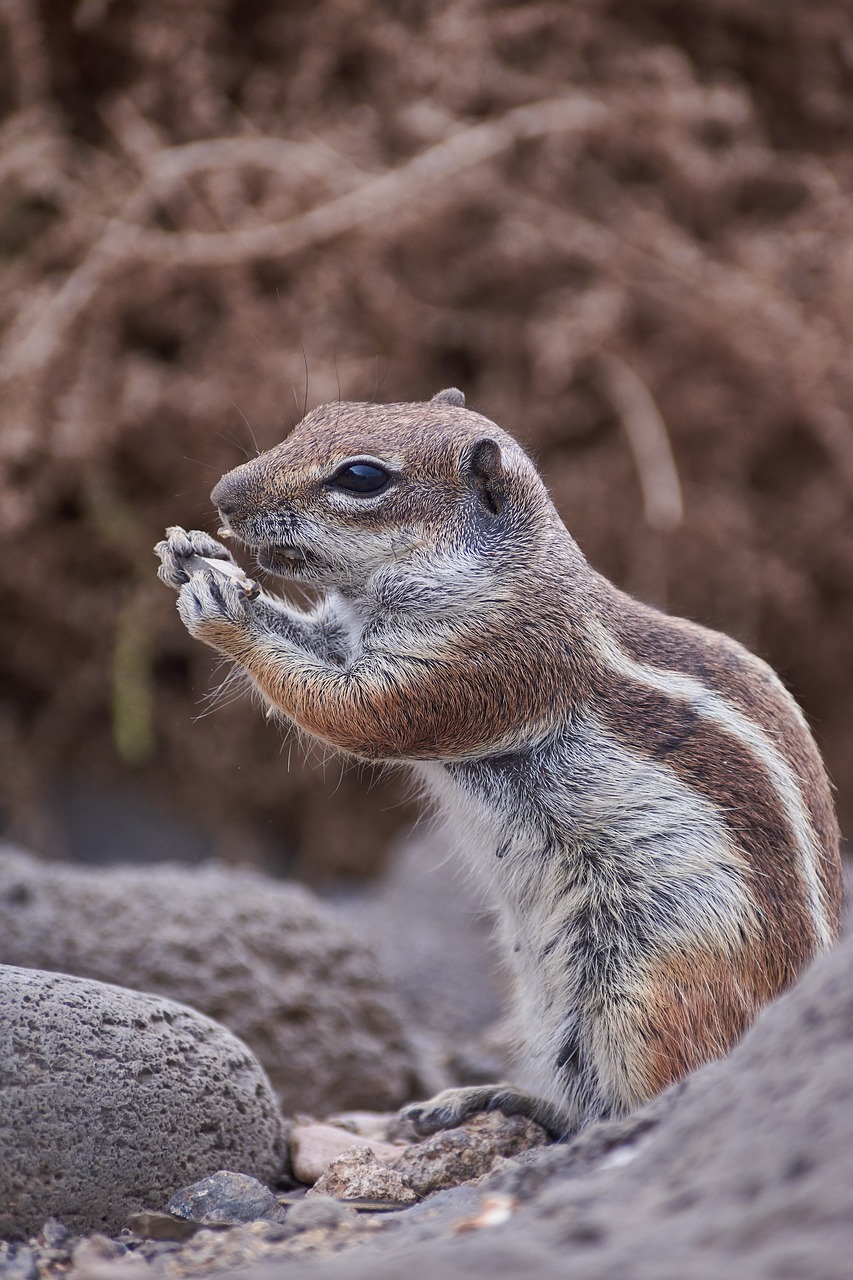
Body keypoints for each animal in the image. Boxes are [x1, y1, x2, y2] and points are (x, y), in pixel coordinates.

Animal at [156, 384, 840, 1136]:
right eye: (317, 416)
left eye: (361, 477)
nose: (221, 496)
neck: (501, 572)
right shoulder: (348, 631)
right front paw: (188, 553)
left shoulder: (480, 663)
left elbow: (358, 713)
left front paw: (221, 608)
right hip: (552, 1000)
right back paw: (493, 1097)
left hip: (649, 992)